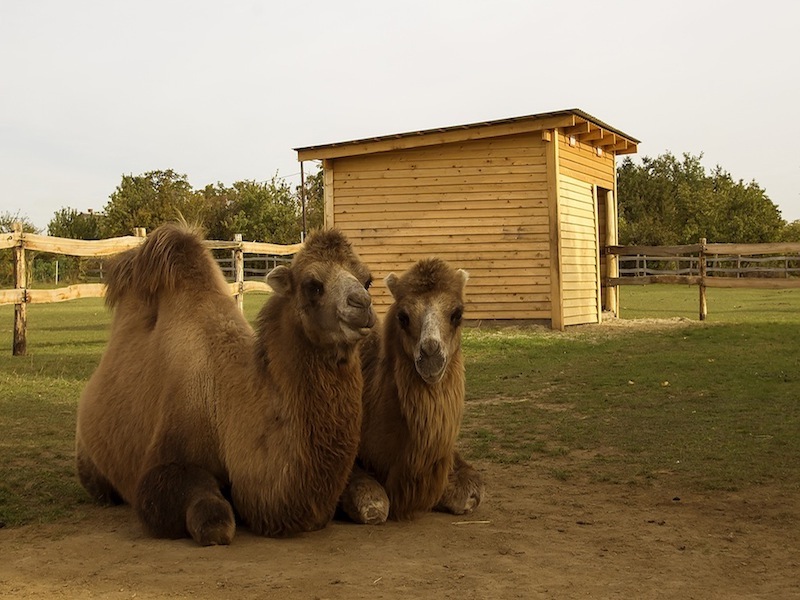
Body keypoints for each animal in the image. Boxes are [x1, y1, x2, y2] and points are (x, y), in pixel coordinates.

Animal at [75, 223, 376, 548]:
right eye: (313, 285)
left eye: (367, 281)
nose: (362, 304)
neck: (227, 407)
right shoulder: (164, 465)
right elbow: (214, 521)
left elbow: (374, 500)